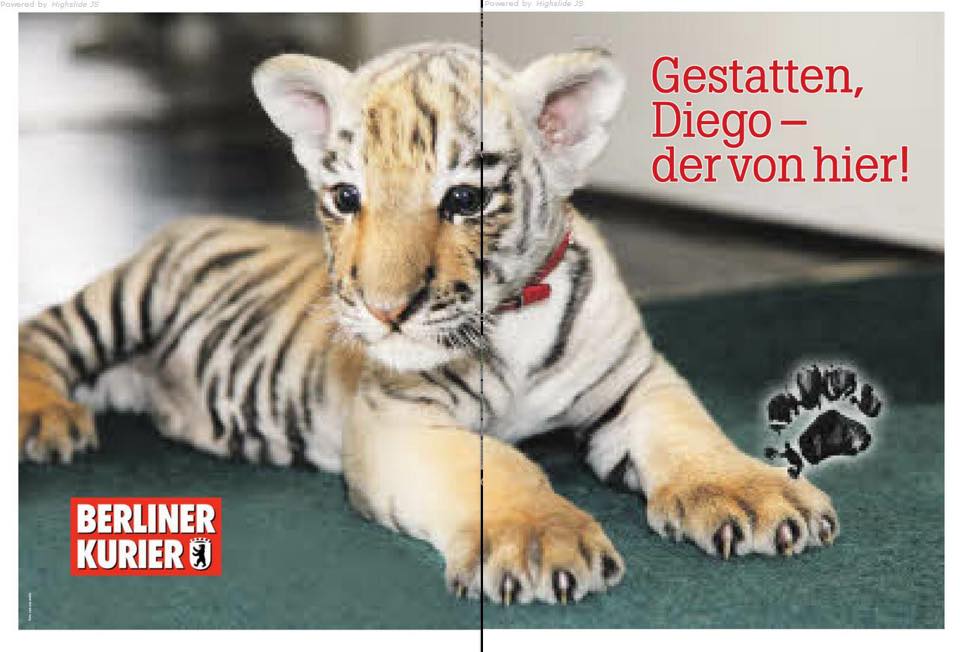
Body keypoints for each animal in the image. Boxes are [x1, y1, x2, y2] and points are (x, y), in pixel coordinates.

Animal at [18, 42, 838, 606]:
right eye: (345, 197)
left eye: (465, 200)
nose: (383, 311)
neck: (512, 322)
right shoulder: (400, 419)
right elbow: (496, 465)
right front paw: (537, 540)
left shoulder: (637, 380)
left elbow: (692, 434)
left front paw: (754, 496)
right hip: (128, 296)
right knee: (40, 334)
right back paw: (45, 420)